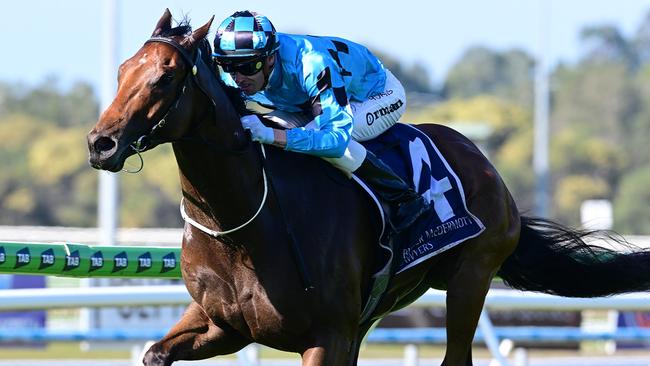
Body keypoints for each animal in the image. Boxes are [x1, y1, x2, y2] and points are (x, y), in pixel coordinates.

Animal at [87, 10, 650, 364]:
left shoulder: (327, 337)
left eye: (164, 77)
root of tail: (492, 173)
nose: (101, 144)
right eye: (121, 71)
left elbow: (334, 132)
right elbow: (155, 351)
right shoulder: (220, 325)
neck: (242, 227)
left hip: (470, 278)